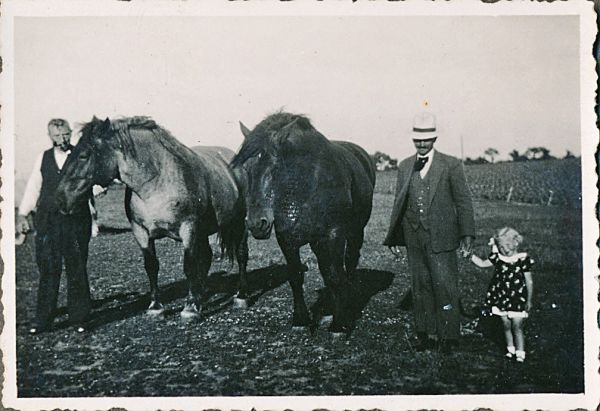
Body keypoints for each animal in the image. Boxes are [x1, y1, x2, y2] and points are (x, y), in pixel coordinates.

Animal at [53, 117, 246, 320]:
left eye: (84, 155)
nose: (59, 199)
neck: (156, 184)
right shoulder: (141, 231)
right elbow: (152, 266)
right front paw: (155, 306)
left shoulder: (189, 228)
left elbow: (189, 265)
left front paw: (190, 308)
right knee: (207, 257)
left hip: (238, 222)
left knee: (241, 254)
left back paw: (240, 295)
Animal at [231, 112, 376, 334]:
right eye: (246, 169)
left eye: (274, 168)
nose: (257, 224)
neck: (305, 185)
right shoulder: (287, 239)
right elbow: (296, 276)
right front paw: (300, 319)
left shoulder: (334, 234)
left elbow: (335, 276)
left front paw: (339, 324)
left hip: (355, 231)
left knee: (350, 262)